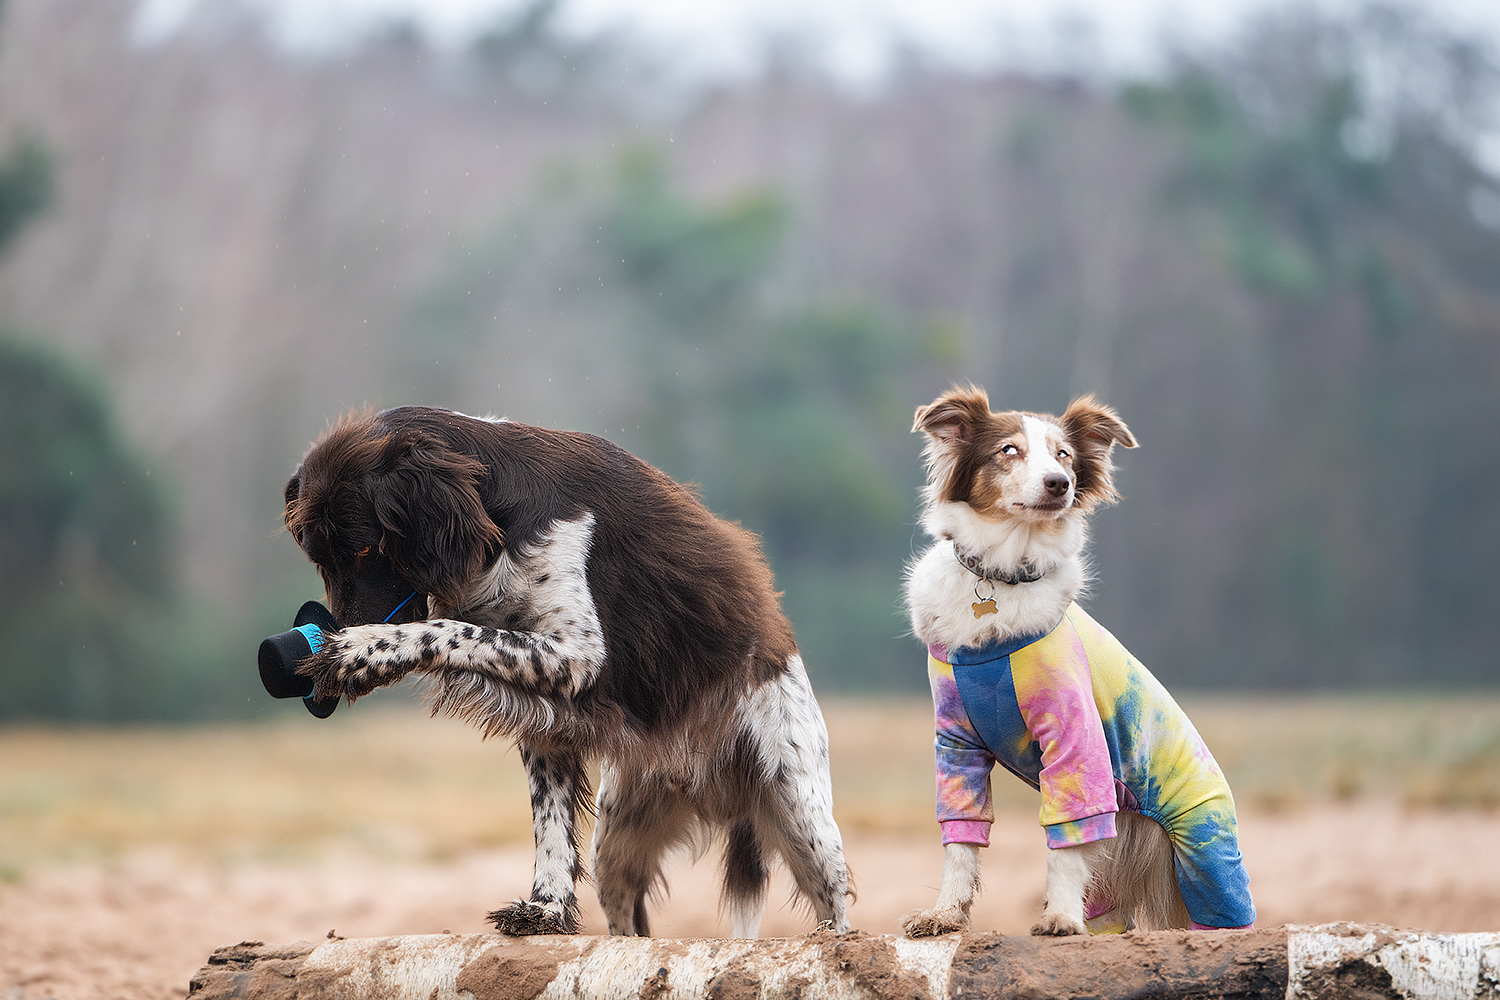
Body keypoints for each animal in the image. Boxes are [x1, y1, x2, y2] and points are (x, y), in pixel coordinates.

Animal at [282, 407, 846, 941]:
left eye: (363, 548)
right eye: (318, 559)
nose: (339, 625)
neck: (496, 515)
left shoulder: (577, 656)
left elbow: (446, 629)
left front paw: (356, 651)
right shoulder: (548, 712)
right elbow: (550, 825)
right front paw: (546, 909)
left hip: (801, 812)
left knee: (835, 913)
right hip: (618, 838)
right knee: (626, 924)